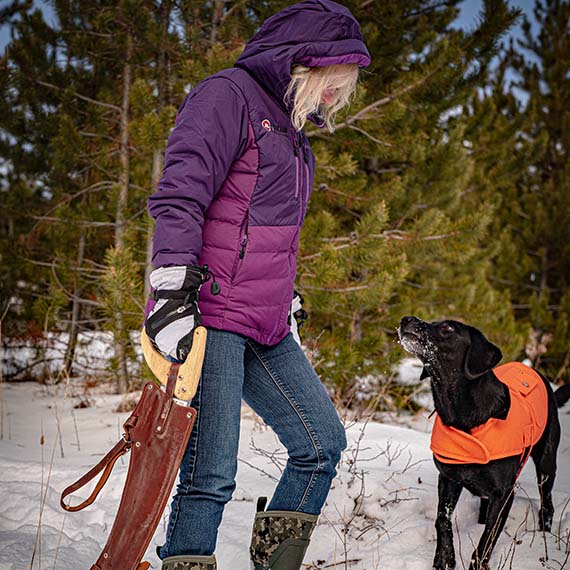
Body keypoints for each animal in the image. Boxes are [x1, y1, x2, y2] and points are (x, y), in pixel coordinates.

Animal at [394, 316, 568, 568]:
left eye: (448, 327)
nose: (406, 319)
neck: (463, 416)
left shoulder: (504, 494)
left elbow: (488, 537)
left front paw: (477, 563)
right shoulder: (448, 478)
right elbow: (442, 519)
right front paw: (444, 557)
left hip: (546, 463)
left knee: (547, 504)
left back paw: (544, 535)